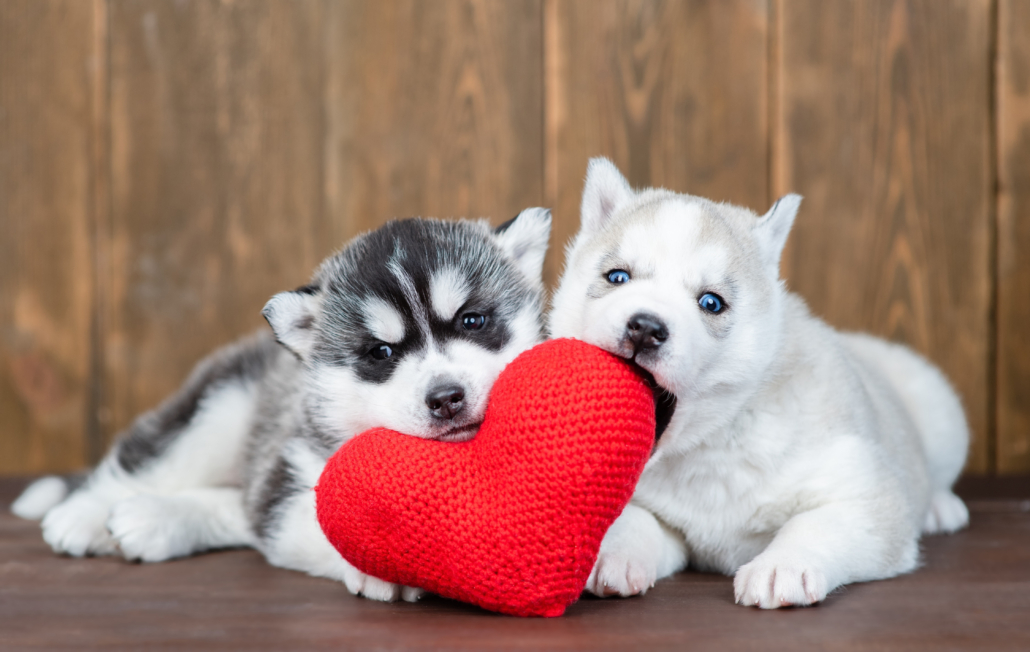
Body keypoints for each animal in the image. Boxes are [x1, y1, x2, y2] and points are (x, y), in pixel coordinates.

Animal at [12, 208, 552, 601]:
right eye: (381, 353)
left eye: (473, 321)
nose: (446, 398)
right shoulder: (292, 478)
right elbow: (309, 525)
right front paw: (385, 566)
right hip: (219, 410)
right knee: (149, 464)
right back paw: (85, 516)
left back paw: (154, 520)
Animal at [552, 160, 968, 609]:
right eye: (617, 277)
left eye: (711, 302)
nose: (645, 327)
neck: (709, 446)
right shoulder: (660, 515)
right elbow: (636, 519)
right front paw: (612, 555)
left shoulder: (864, 492)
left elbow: (816, 524)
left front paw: (783, 567)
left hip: (938, 410)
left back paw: (941, 508)